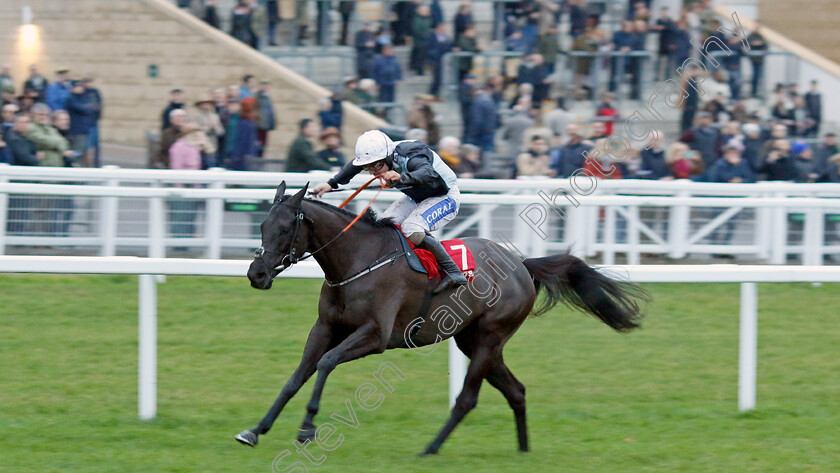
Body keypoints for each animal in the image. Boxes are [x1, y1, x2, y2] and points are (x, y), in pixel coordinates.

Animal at [236, 182, 648, 454]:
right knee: (516, 390)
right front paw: (256, 429)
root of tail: (520, 265)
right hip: (473, 340)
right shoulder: (325, 327)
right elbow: (297, 375)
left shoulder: (375, 335)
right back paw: (523, 450)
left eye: (285, 228)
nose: (257, 274)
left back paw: (430, 448)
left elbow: (325, 364)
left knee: (467, 399)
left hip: (490, 337)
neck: (358, 260)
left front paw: (307, 429)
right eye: (262, 226)